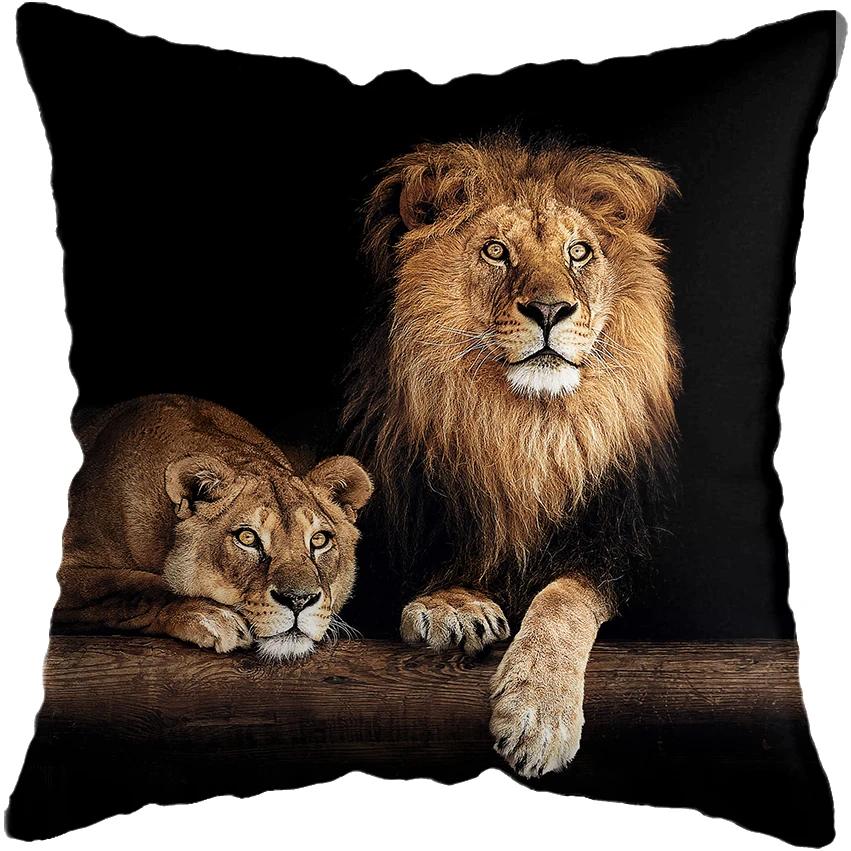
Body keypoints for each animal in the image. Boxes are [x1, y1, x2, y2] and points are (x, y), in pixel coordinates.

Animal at [344, 136, 680, 776]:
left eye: (579, 253)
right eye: (496, 251)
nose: (550, 311)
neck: (524, 431)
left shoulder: (617, 553)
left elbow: (563, 598)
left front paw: (539, 715)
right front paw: (452, 606)